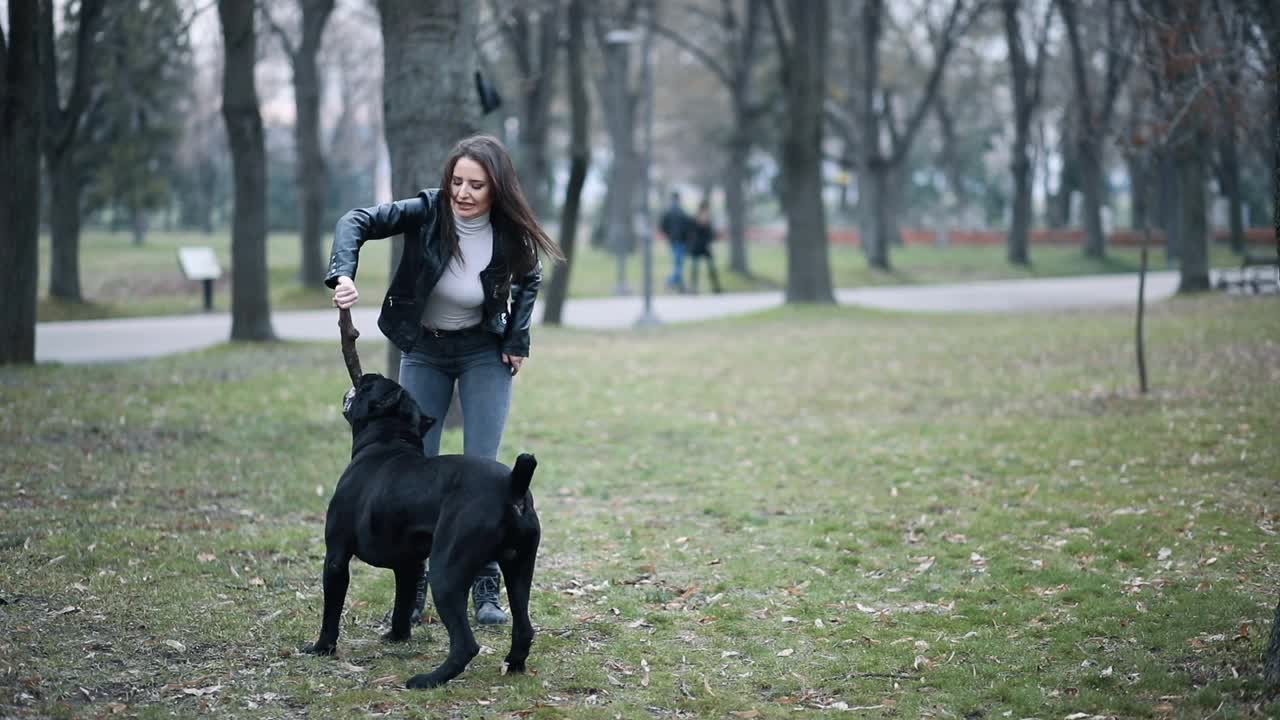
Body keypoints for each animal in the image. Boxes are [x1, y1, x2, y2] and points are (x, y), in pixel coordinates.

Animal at [307, 371, 542, 686]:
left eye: (369, 386)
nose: (369, 374)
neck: (388, 441)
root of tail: (512, 485)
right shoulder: (409, 565)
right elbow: (403, 602)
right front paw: (397, 636)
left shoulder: (336, 558)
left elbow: (331, 611)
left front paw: (322, 647)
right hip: (518, 569)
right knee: (524, 627)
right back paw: (513, 664)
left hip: (447, 575)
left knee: (466, 644)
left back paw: (428, 680)